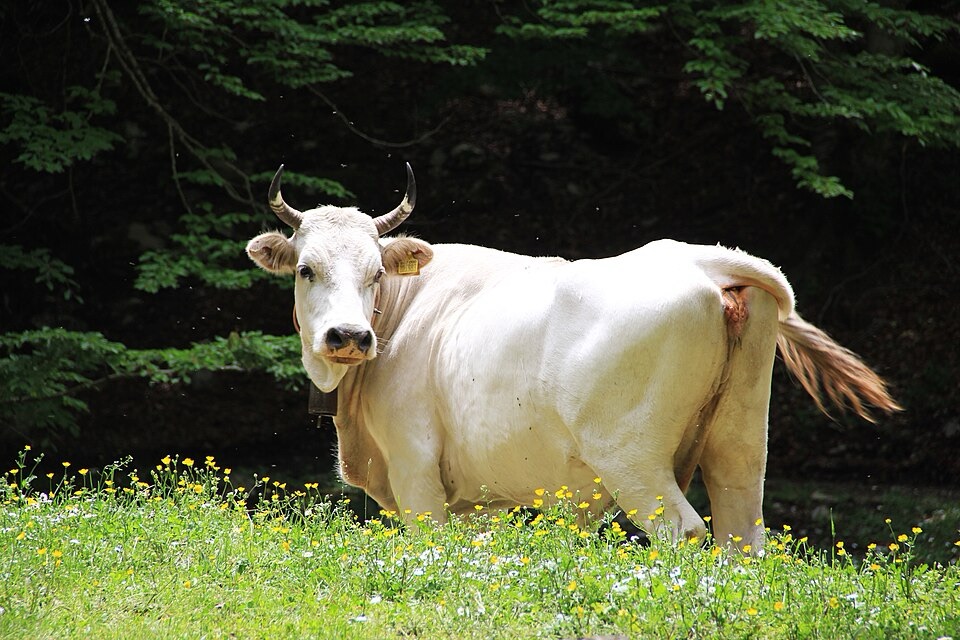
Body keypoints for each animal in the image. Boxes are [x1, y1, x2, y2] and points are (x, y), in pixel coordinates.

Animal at [246, 164, 901, 552]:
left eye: (376, 272)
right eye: (307, 269)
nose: (348, 336)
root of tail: (701, 258)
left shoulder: (416, 474)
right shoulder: (479, 499)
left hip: (633, 460)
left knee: (683, 531)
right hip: (740, 442)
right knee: (742, 536)